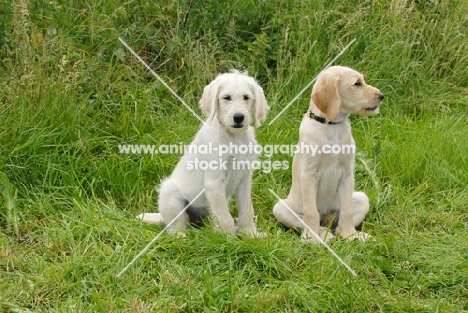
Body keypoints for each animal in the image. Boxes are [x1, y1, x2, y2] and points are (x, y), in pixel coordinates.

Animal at [139, 70, 268, 236]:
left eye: (246, 97)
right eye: (226, 98)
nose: (239, 117)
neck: (233, 136)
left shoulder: (245, 179)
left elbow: (247, 210)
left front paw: (250, 234)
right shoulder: (215, 182)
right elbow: (224, 217)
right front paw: (229, 239)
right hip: (170, 195)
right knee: (176, 226)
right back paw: (181, 235)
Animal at [272, 65, 382, 241]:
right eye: (357, 84)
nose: (381, 96)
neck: (332, 126)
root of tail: (326, 218)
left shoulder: (347, 174)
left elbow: (347, 211)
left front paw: (350, 235)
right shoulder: (308, 174)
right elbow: (311, 212)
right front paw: (311, 239)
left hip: (362, 198)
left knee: (337, 223)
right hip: (280, 208)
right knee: (312, 220)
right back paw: (322, 234)